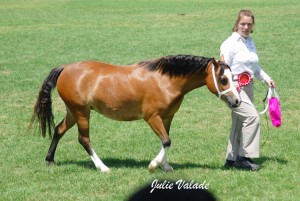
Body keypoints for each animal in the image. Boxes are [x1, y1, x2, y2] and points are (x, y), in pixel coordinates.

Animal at [30, 55, 240, 173]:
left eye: (233, 77)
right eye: (223, 79)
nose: (237, 101)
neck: (165, 80)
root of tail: (65, 68)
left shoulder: (167, 117)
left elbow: (166, 140)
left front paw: (165, 166)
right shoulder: (152, 117)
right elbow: (166, 141)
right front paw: (153, 165)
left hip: (73, 112)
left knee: (59, 130)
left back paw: (50, 160)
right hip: (81, 113)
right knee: (84, 140)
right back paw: (103, 167)